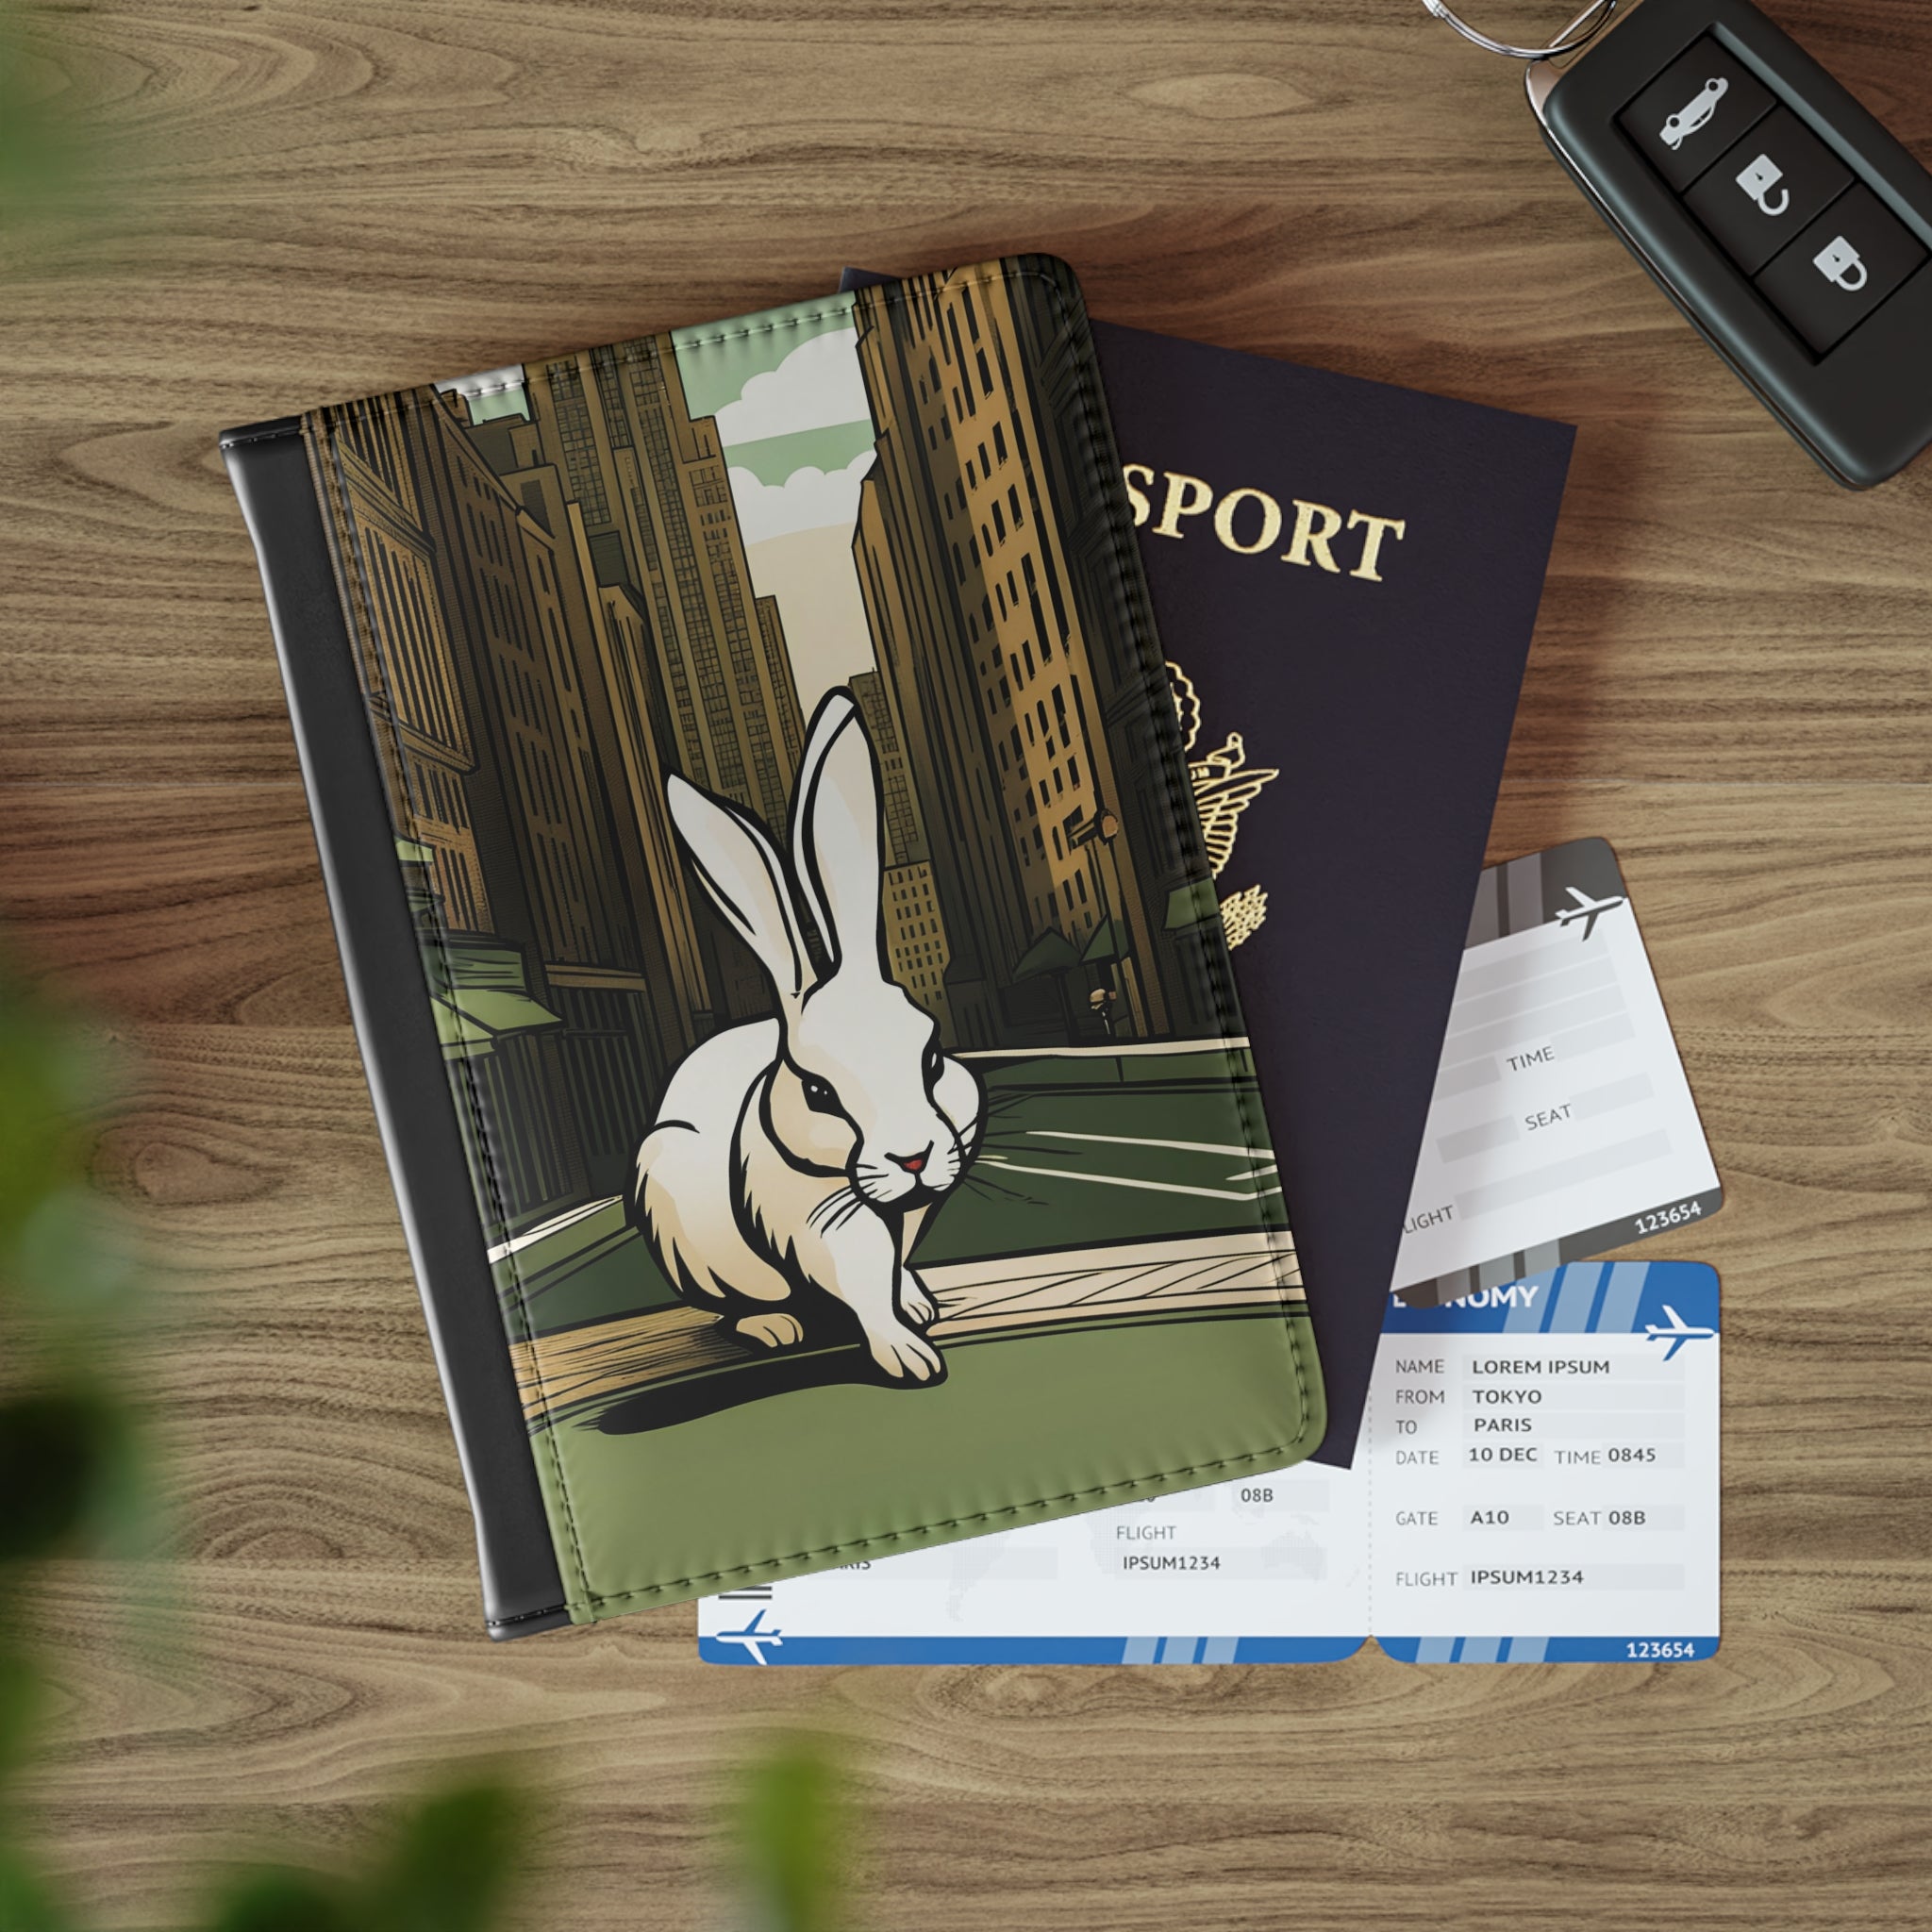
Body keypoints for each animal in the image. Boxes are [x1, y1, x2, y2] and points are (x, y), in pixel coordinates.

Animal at [629, 687, 984, 1385]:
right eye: (818, 1091)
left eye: (932, 1059)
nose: (914, 1158)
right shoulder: (815, 1224)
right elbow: (863, 1282)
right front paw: (910, 1360)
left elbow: (893, 1268)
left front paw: (917, 1307)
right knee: (738, 1303)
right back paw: (772, 1327)